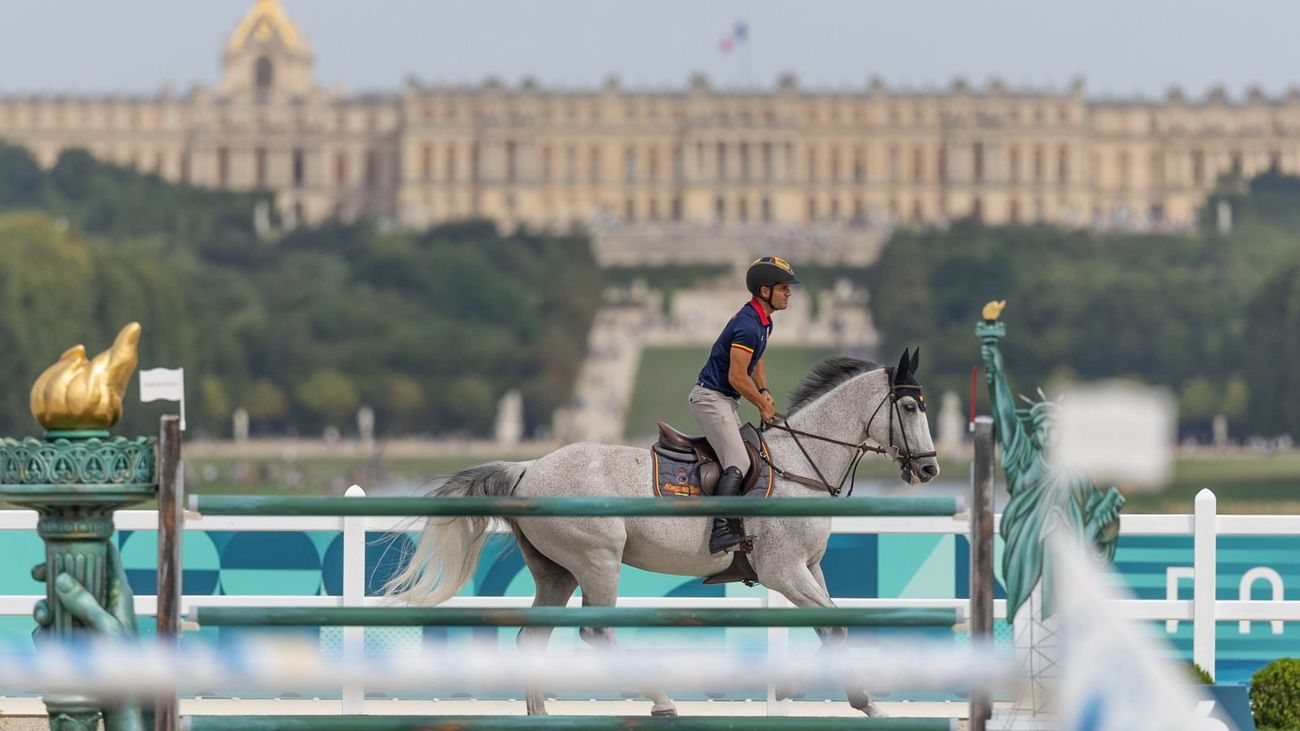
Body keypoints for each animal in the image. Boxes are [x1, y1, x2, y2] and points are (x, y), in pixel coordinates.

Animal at [379, 351, 941, 712]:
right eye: (910, 406)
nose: (931, 468)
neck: (803, 463)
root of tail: (528, 469)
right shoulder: (783, 571)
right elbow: (836, 626)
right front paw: (839, 695)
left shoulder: (810, 568)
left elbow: (831, 624)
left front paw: (850, 699)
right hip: (598, 562)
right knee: (597, 632)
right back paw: (664, 701)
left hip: (557, 572)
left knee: (532, 641)